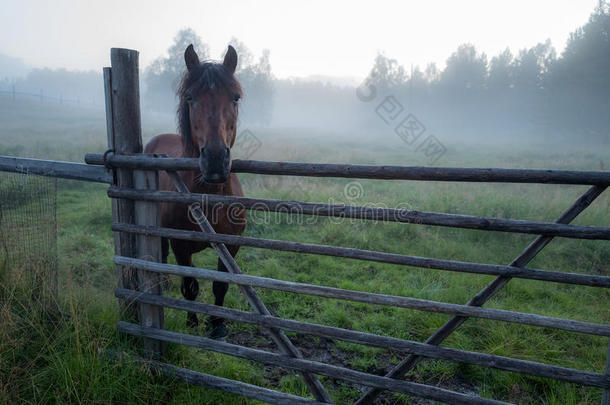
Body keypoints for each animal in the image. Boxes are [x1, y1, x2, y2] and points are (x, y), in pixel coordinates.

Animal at [144, 44, 245, 338]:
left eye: (235, 98)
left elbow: (220, 285)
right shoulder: (181, 246)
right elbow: (190, 286)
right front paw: (191, 323)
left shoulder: (231, 245)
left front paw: (218, 324)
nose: (215, 160)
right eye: (190, 97)